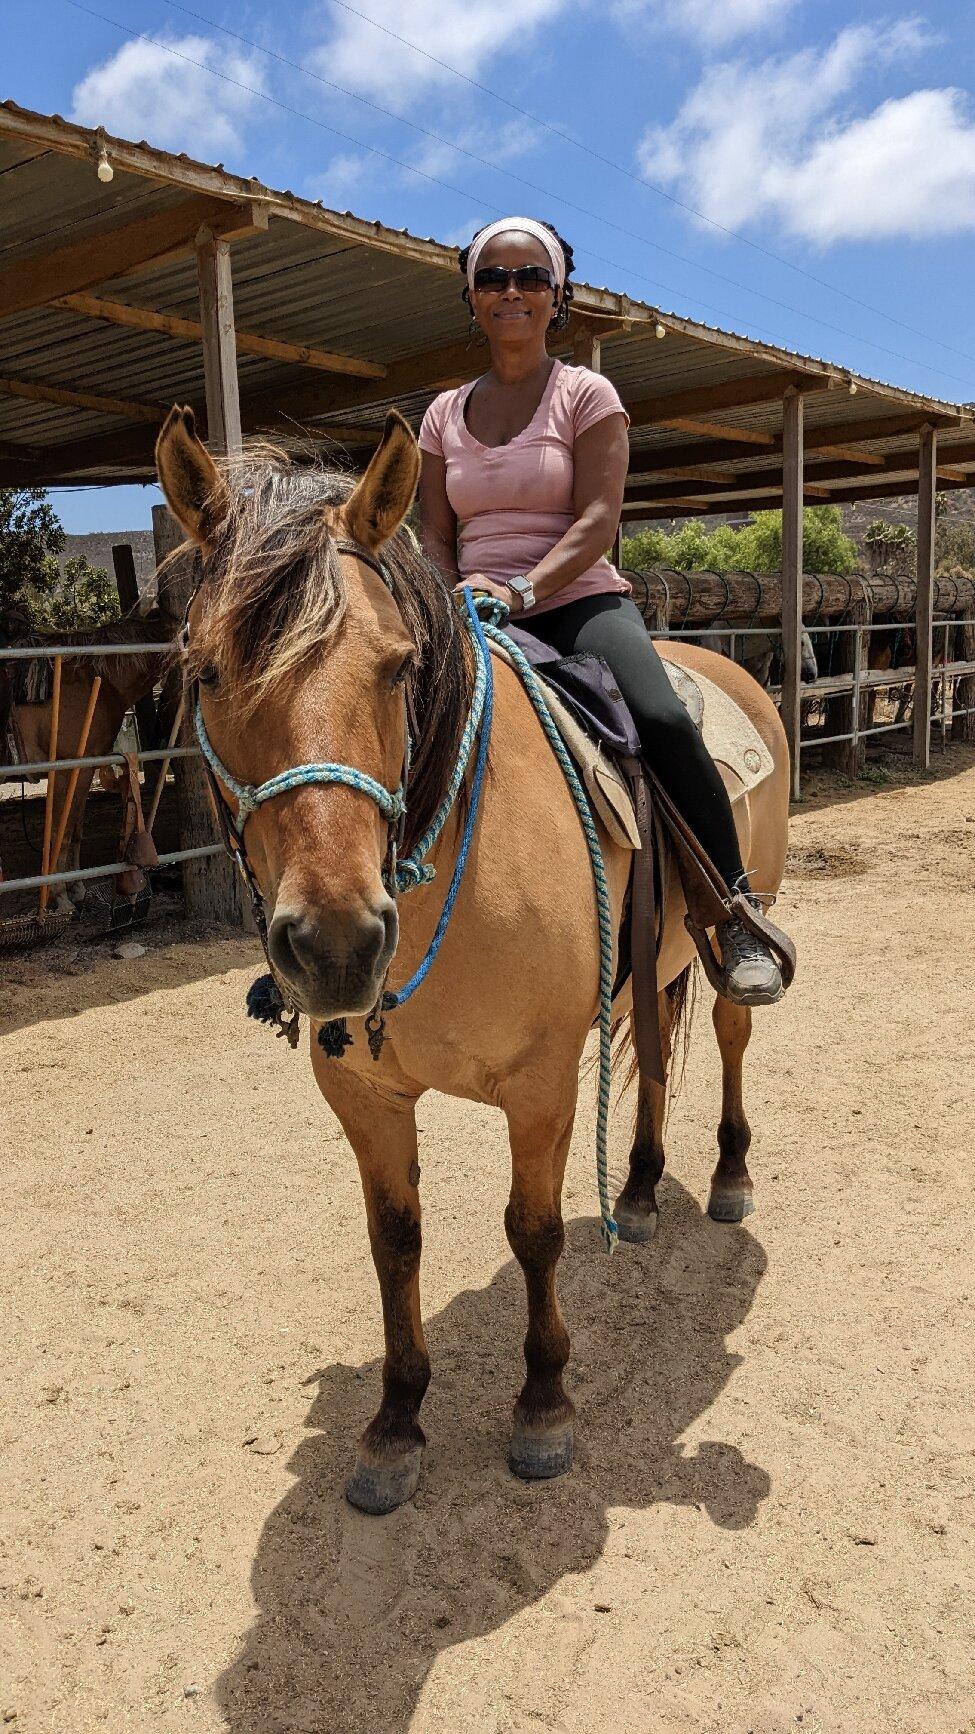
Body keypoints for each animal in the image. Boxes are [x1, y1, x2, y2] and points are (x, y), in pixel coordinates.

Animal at [153, 405, 791, 1518]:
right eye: (205, 670)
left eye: (400, 665)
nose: (335, 943)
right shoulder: (362, 1094)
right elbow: (393, 1242)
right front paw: (396, 1422)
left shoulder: (539, 1086)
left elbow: (531, 1232)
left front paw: (542, 1408)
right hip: (653, 955)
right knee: (656, 1054)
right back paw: (637, 1193)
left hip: (735, 938)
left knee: (727, 1033)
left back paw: (728, 1175)